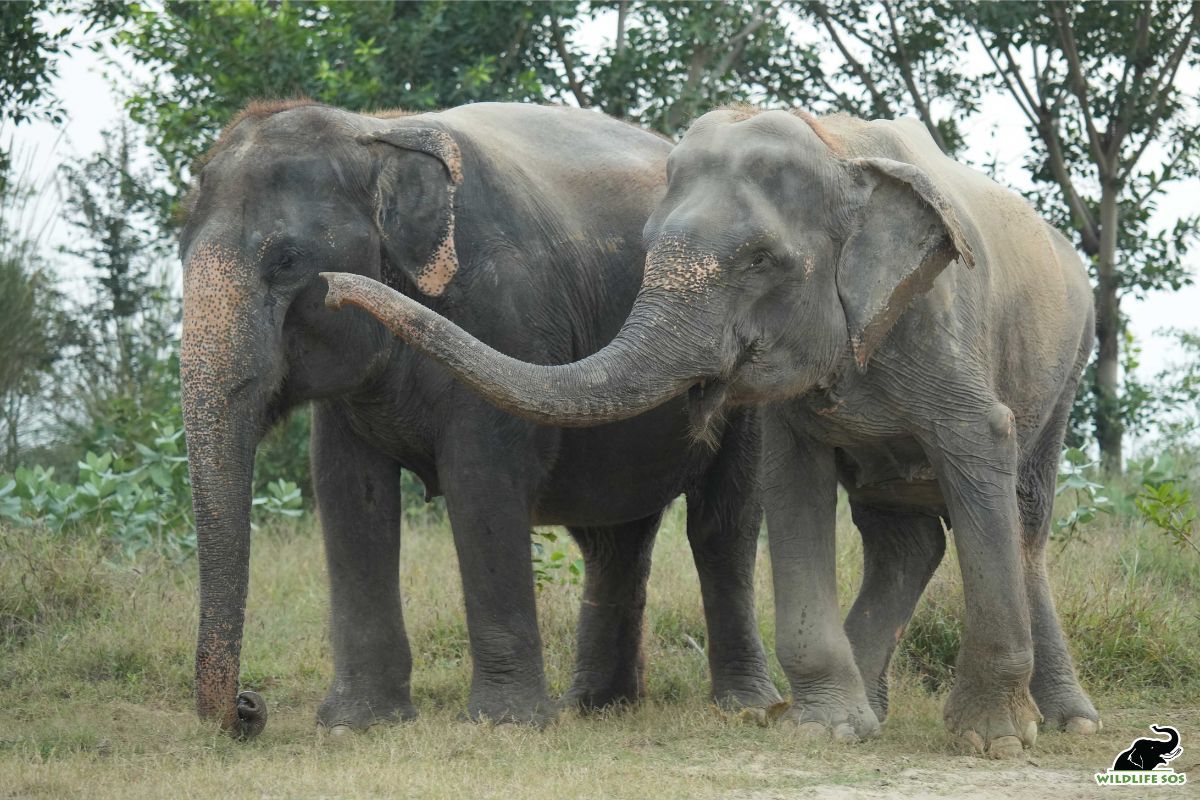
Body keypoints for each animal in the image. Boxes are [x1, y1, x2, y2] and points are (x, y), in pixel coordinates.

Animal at [179, 100, 783, 738]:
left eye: (287, 261)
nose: (249, 706)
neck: (376, 135)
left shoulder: (507, 315)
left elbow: (481, 482)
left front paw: (506, 724)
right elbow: (347, 492)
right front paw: (358, 724)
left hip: (745, 379)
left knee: (721, 527)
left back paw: (745, 706)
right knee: (614, 538)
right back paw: (597, 706)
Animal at [321, 107, 1104, 756]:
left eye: (761, 261)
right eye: (644, 248)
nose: (330, 288)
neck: (836, 147)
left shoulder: (942, 323)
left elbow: (980, 444)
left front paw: (989, 743)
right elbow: (792, 486)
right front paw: (823, 729)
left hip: (1068, 363)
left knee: (1023, 520)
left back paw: (1067, 722)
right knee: (904, 538)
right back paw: (857, 710)